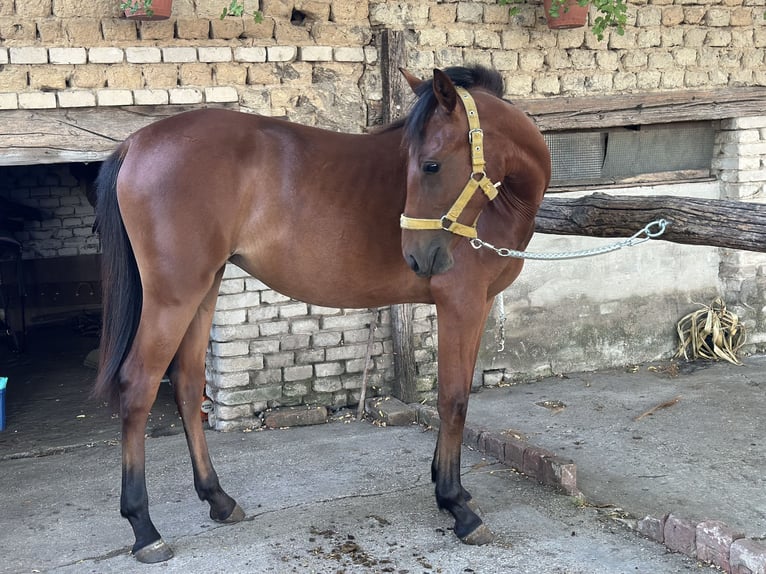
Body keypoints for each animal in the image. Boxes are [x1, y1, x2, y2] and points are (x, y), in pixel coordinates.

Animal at [94, 65, 552, 564]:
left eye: (428, 164)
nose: (417, 257)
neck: (500, 201)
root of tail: (136, 143)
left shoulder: (480, 305)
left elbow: (460, 393)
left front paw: (451, 491)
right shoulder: (461, 304)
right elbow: (452, 399)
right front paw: (457, 506)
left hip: (205, 286)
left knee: (187, 382)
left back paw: (219, 499)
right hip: (174, 295)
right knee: (138, 385)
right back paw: (144, 528)